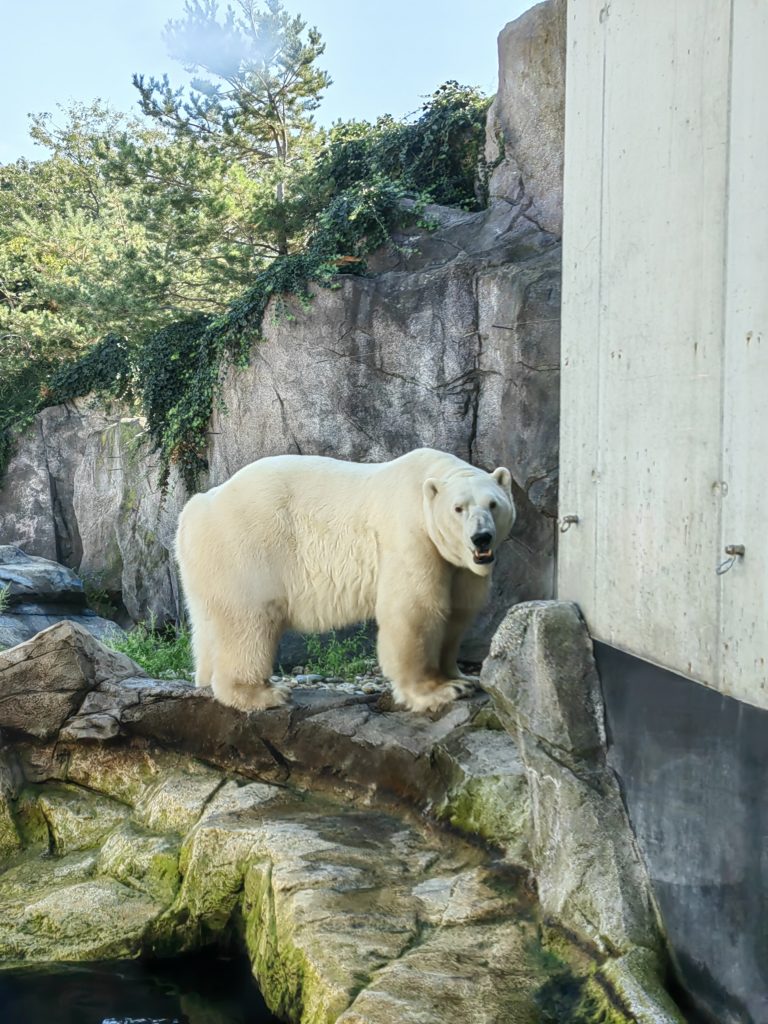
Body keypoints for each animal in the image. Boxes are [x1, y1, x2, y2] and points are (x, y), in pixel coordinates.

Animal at [173, 448, 512, 712]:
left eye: (493, 504)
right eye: (458, 508)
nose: (481, 538)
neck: (427, 481)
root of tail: (198, 505)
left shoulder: (457, 565)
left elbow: (457, 612)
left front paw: (462, 678)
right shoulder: (410, 535)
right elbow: (415, 610)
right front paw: (438, 691)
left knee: (209, 622)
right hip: (249, 546)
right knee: (249, 621)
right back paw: (262, 693)